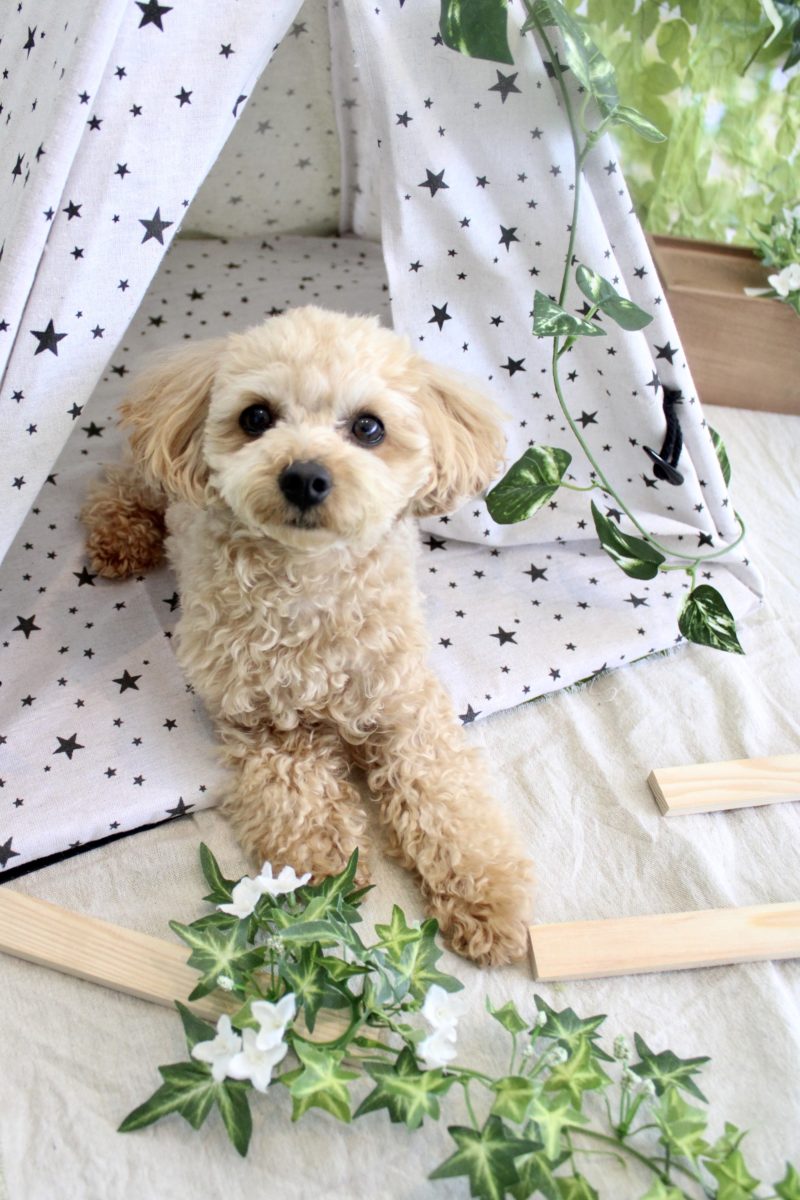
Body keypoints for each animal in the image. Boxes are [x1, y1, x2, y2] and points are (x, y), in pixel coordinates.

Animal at [82, 306, 534, 965]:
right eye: (256, 417)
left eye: (369, 427)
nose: (304, 478)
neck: (309, 583)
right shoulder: (265, 723)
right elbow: (298, 800)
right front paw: (323, 883)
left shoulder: (406, 705)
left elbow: (447, 801)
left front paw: (488, 899)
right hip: (150, 478)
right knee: (117, 480)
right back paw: (119, 535)